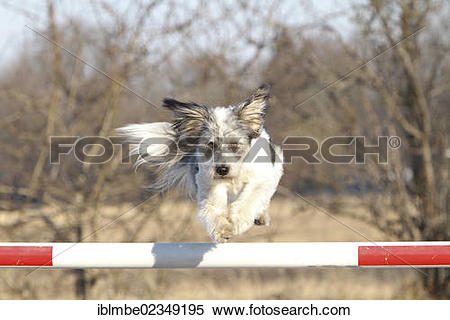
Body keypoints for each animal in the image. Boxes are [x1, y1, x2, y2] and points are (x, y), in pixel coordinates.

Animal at [118, 84, 284, 241]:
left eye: (234, 144)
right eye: (211, 144)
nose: (222, 169)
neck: (233, 177)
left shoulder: (260, 180)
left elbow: (249, 200)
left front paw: (236, 222)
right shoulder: (209, 184)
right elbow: (212, 208)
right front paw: (222, 229)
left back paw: (261, 217)